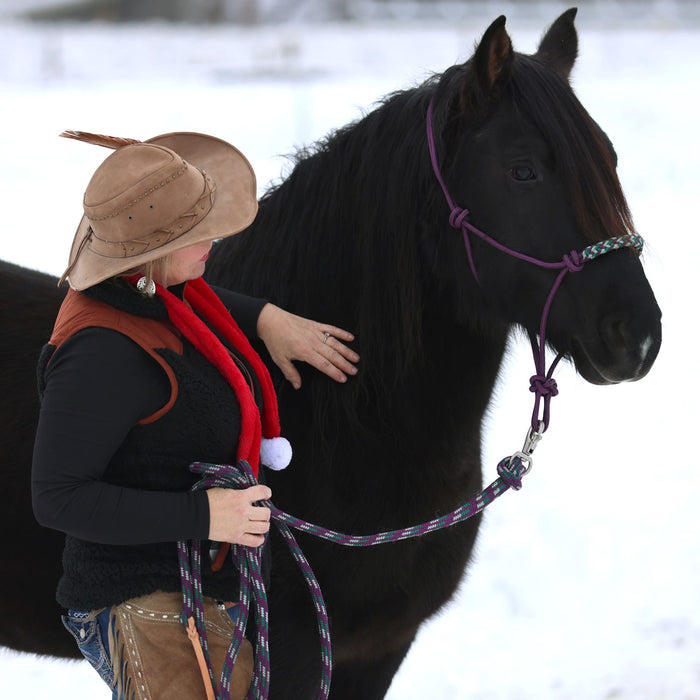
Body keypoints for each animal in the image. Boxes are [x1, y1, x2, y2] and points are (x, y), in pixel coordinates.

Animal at [1, 6, 660, 700]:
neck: (342, 420)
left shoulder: (380, 649)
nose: (638, 335)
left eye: (610, 158)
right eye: (523, 170)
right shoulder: (287, 658)